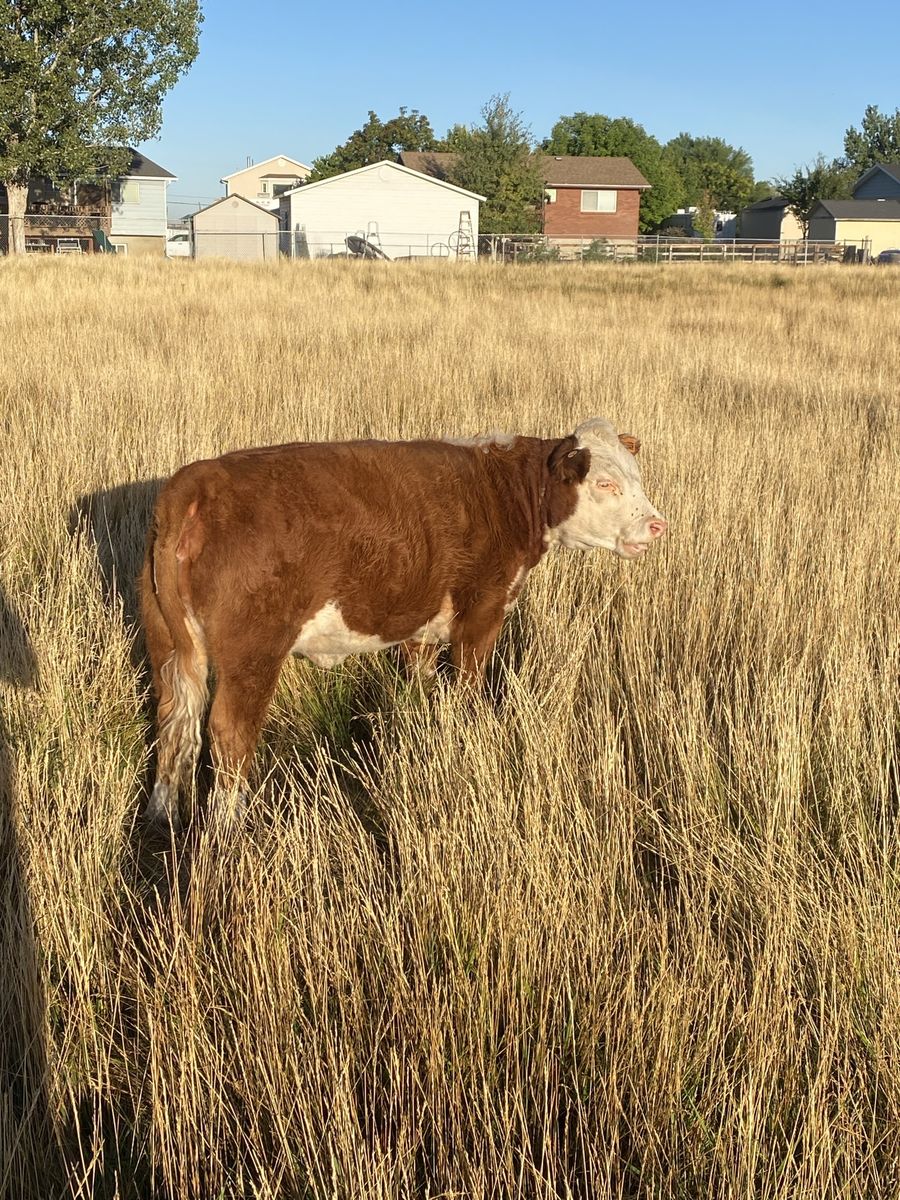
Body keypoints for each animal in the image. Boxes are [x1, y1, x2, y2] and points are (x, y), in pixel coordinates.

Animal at [139, 418, 667, 826]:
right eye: (605, 484)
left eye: (638, 477)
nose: (657, 525)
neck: (504, 494)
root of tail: (196, 484)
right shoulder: (483, 610)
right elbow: (468, 688)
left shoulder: (422, 624)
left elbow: (422, 685)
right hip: (252, 650)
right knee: (229, 730)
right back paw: (229, 826)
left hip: (168, 642)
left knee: (174, 718)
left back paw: (162, 814)